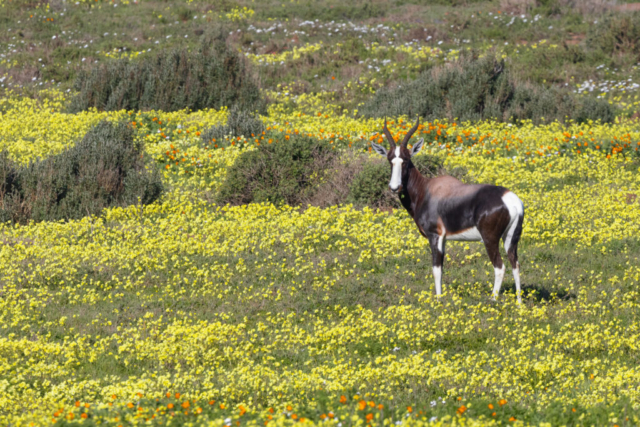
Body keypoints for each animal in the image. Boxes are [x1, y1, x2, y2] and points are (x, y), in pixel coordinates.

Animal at [370, 118, 524, 302]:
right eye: (390, 160)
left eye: (406, 160)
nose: (394, 187)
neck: (426, 190)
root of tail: (511, 200)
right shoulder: (443, 238)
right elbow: (442, 269)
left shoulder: (434, 236)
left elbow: (436, 269)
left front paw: (438, 301)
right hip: (510, 238)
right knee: (515, 264)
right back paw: (519, 303)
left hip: (490, 239)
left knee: (500, 267)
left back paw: (493, 301)